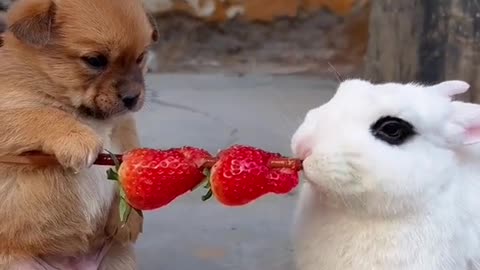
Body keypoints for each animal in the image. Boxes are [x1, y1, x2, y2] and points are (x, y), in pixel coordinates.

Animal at [0, 0, 158, 268]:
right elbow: (42, 114)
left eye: (140, 58)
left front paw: (130, 218)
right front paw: (77, 138)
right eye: (95, 60)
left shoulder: (123, 125)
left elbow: (129, 152)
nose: (133, 98)